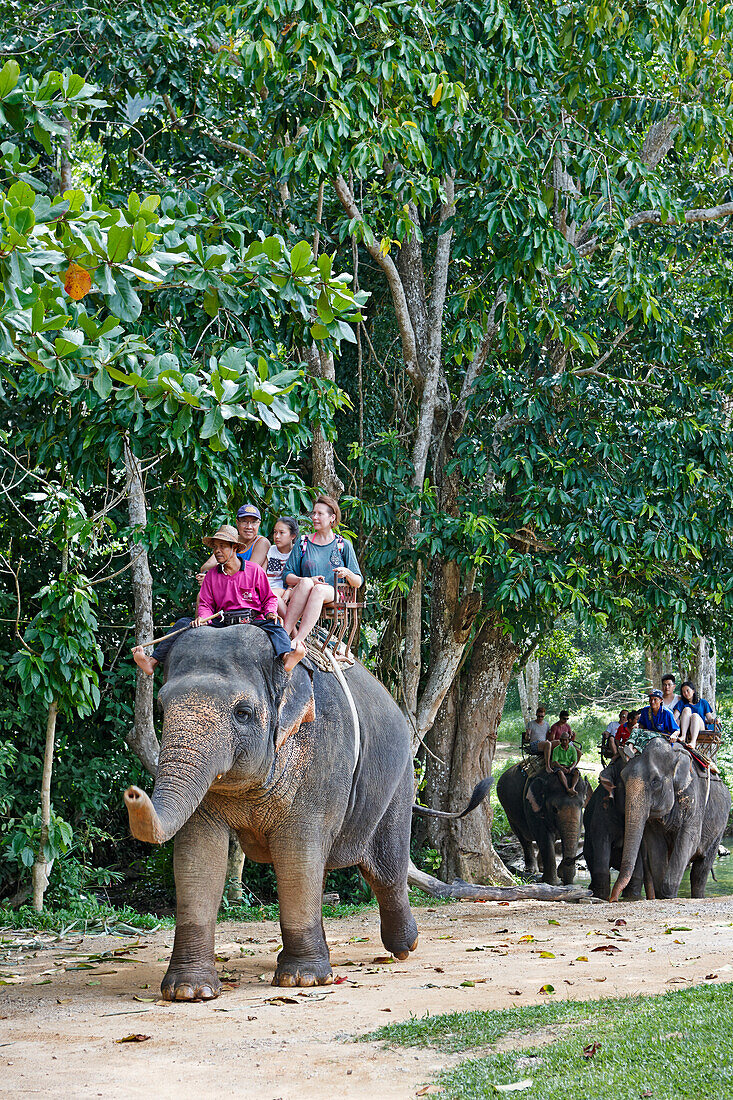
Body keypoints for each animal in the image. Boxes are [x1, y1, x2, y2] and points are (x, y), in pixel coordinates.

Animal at [122, 624, 484, 1003]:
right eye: (161, 707)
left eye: (243, 713)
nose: (132, 793)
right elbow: (197, 854)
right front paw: (189, 992)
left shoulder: (323, 755)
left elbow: (296, 851)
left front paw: (302, 981)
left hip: (398, 782)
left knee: (385, 870)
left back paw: (404, 947)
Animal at [493, 756, 589, 884]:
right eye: (554, 809)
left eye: (582, 804)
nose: (563, 877)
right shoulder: (531, 805)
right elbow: (543, 835)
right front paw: (551, 882)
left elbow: (575, 833)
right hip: (508, 810)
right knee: (523, 837)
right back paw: (530, 870)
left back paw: (541, 868)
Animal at [607, 739, 726, 902]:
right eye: (623, 779)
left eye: (655, 781)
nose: (613, 899)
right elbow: (655, 845)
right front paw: (662, 896)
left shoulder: (694, 797)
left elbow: (689, 841)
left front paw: (669, 895)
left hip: (719, 829)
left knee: (700, 871)